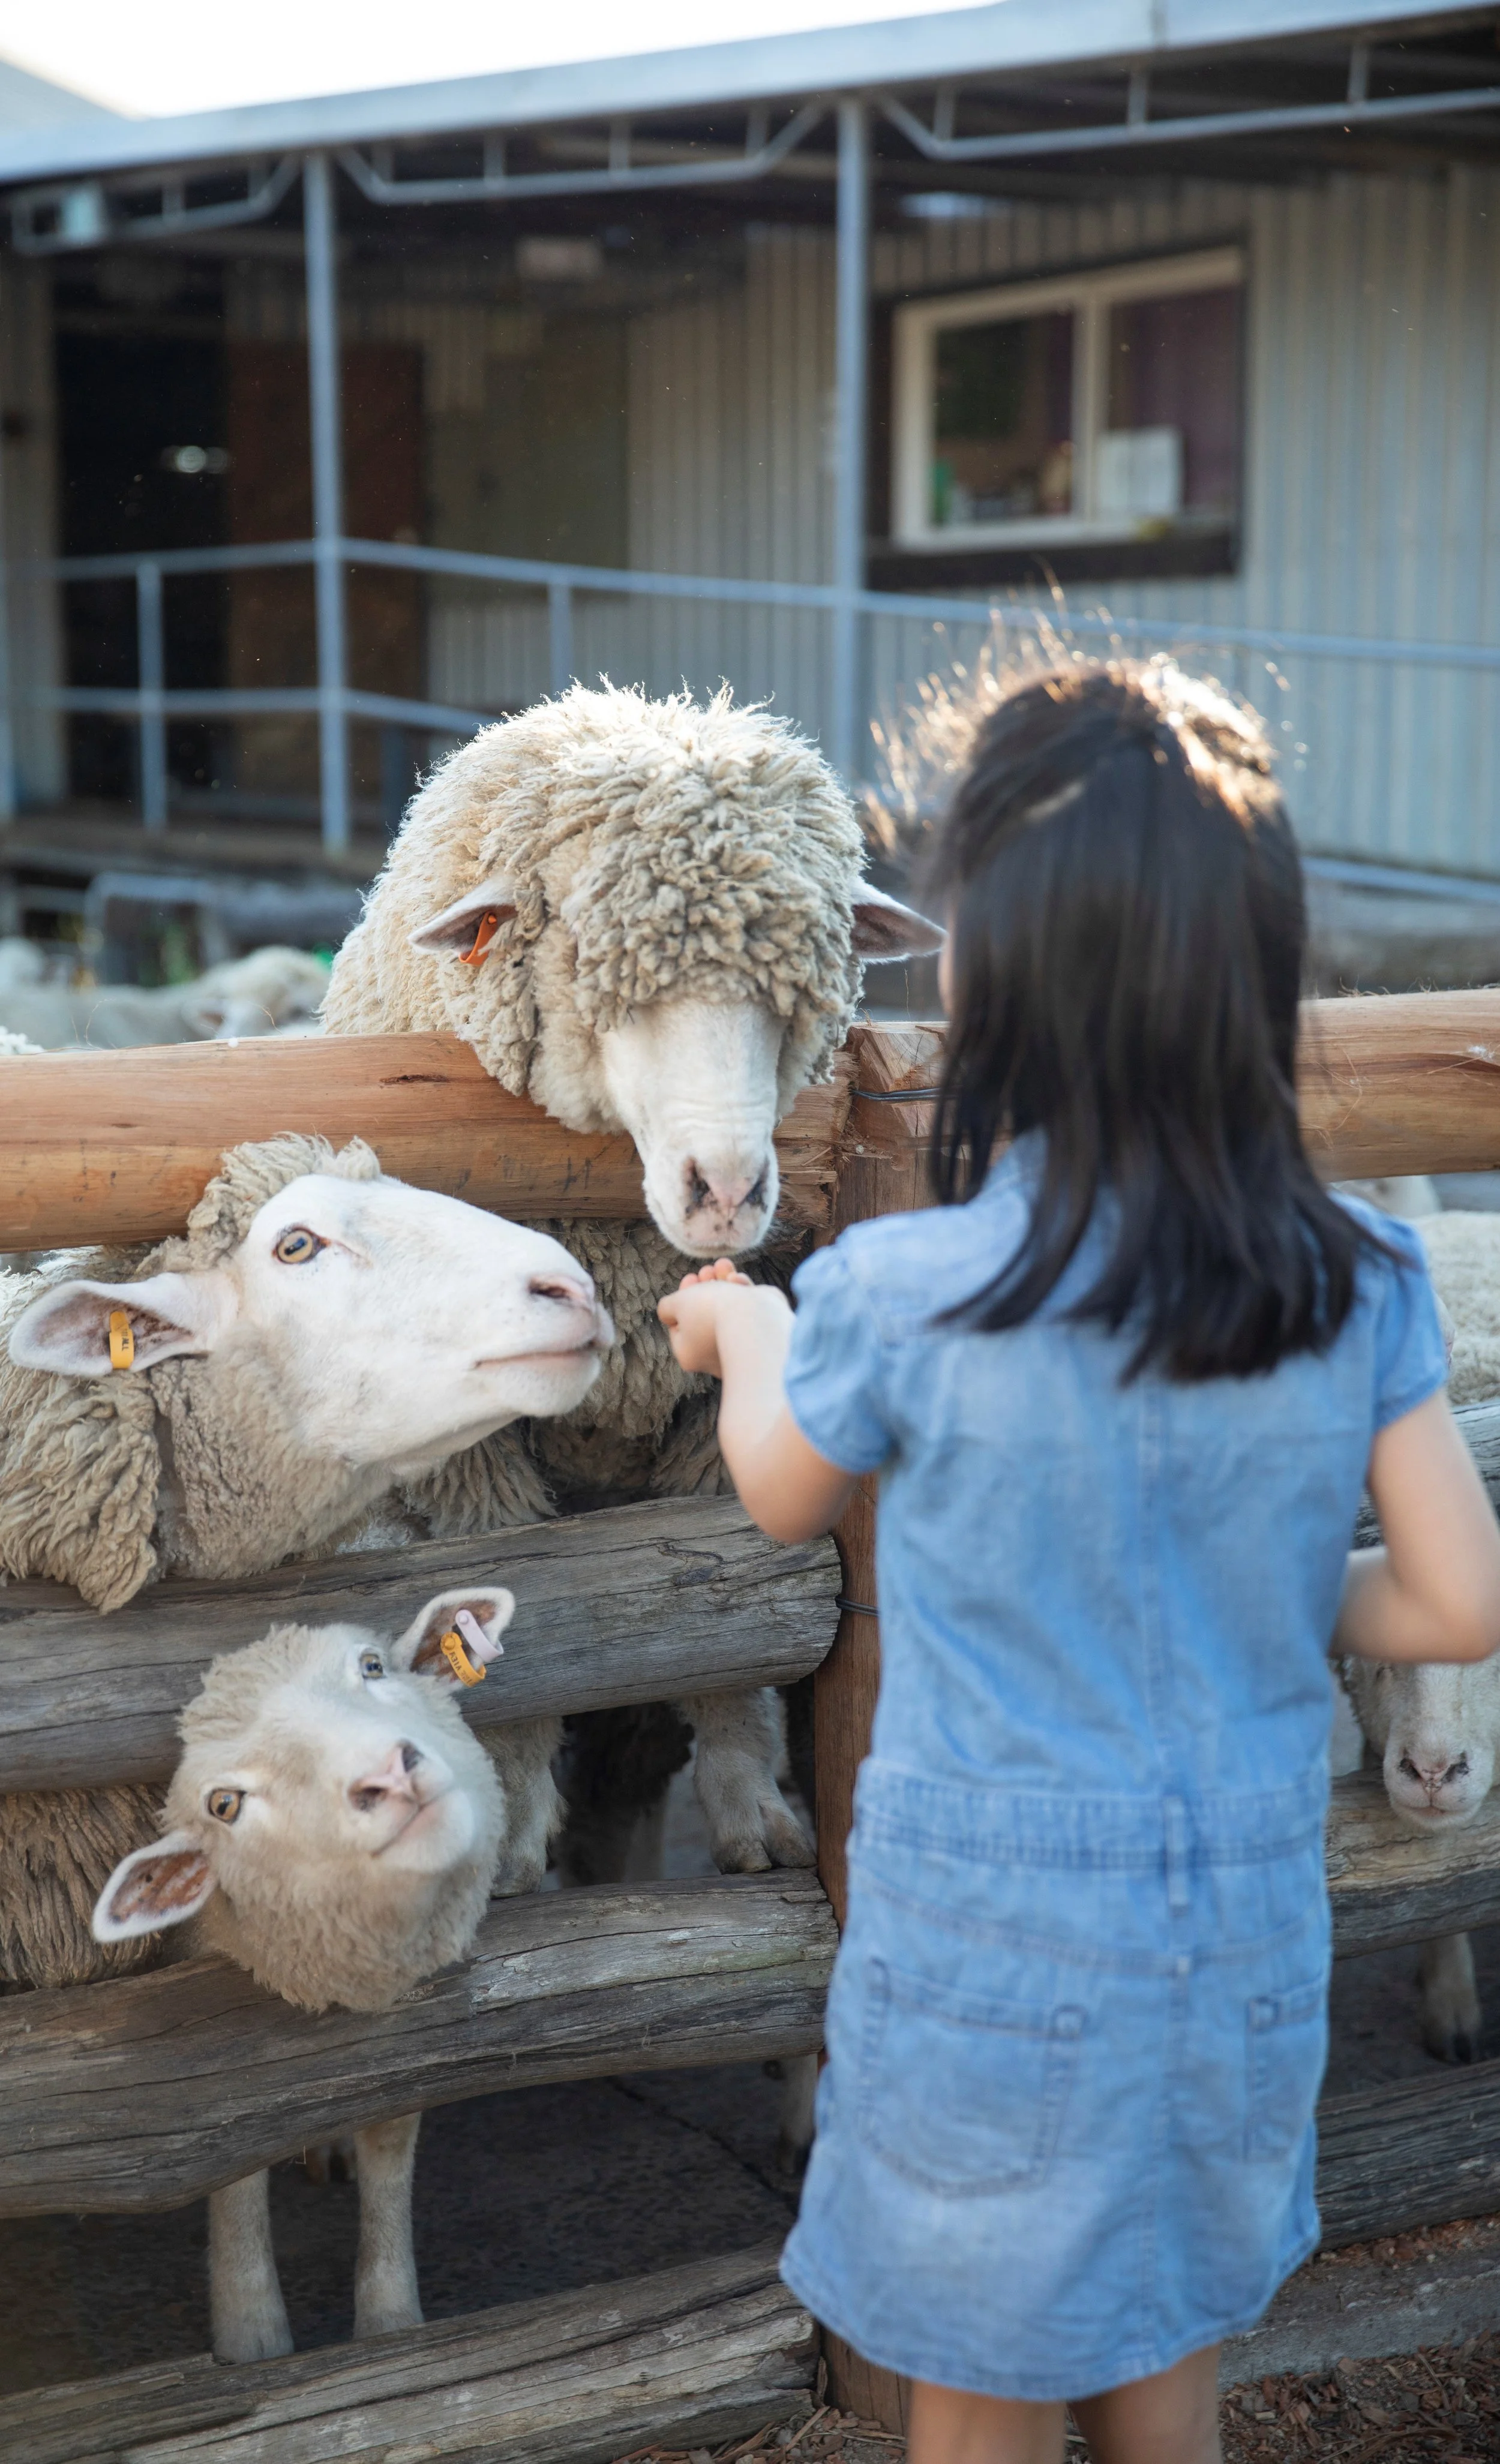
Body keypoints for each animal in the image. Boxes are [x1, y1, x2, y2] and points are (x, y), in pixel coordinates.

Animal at [92, 1585, 514, 2362]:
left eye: (374, 1665)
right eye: (224, 1805)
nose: (390, 1773)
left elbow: (389, 2138)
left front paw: (390, 2320)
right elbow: (231, 2164)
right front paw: (252, 2336)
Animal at [323, 684, 942, 1894]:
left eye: (797, 983)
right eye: (586, 955)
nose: (727, 1191)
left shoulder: (719, 1413)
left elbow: (737, 1614)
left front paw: (754, 1811)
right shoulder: (472, 1454)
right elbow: (513, 1611)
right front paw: (512, 1825)